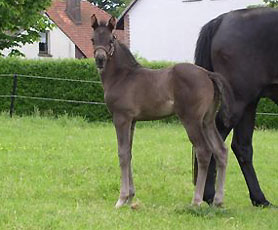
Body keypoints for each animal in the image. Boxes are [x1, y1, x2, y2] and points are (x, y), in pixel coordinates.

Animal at [92, 14, 235, 208]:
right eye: (93, 40)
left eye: (110, 39)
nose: (100, 59)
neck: (122, 76)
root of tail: (207, 74)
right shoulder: (132, 121)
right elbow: (129, 153)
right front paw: (130, 197)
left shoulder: (121, 118)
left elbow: (122, 154)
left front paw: (121, 199)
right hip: (207, 120)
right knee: (220, 151)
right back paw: (218, 201)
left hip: (191, 119)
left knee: (204, 151)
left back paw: (196, 201)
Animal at [194, 6, 278, 207]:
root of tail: (222, 19)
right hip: (237, 103)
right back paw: (209, 195)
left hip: (249, 104)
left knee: (242, 147)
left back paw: (259, 199)